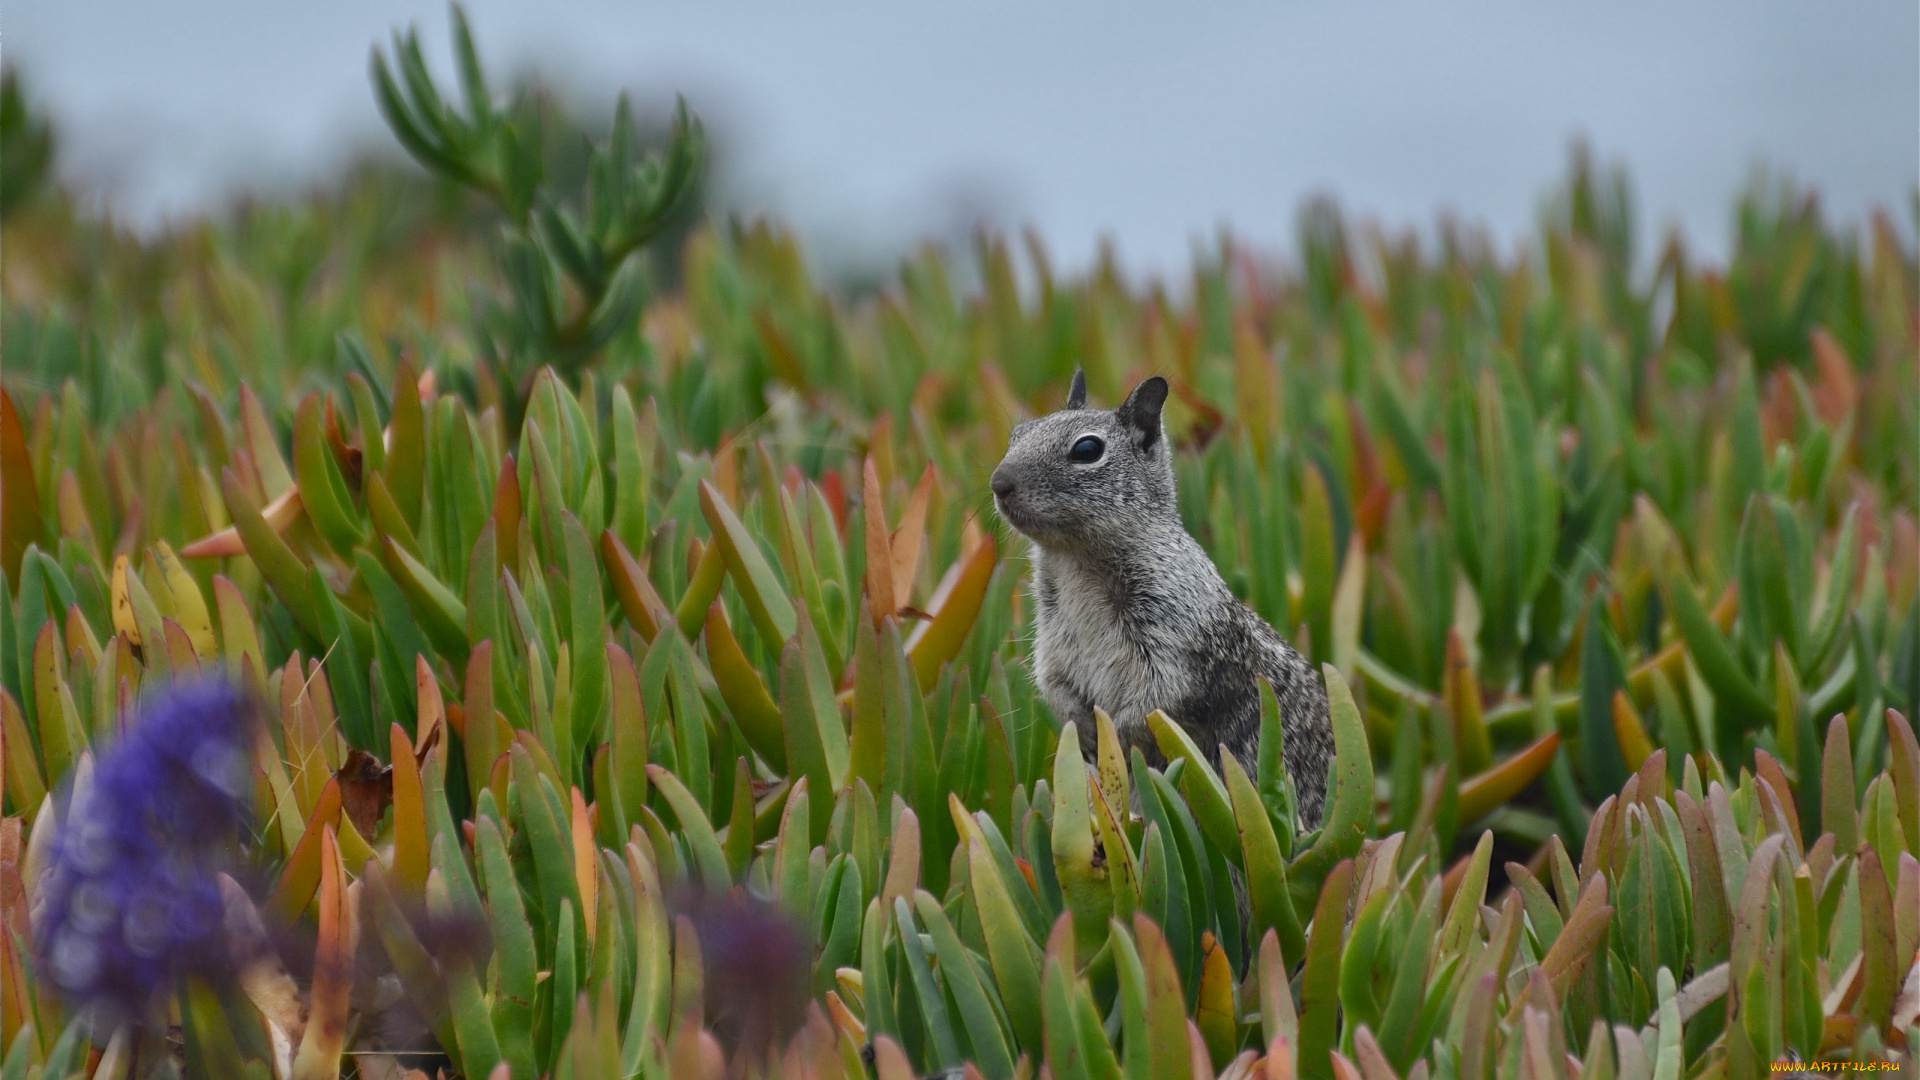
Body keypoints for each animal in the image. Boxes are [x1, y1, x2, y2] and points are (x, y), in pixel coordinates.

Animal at [990, 367, 1336, 822]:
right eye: (1018, 434)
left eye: (1087, 449)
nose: (998, 483)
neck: (1075, 562)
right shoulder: (1054, 641)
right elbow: (1054, 683)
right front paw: (1080, 729)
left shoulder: (1176, 635)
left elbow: (1160, 700)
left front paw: (1115, 737)